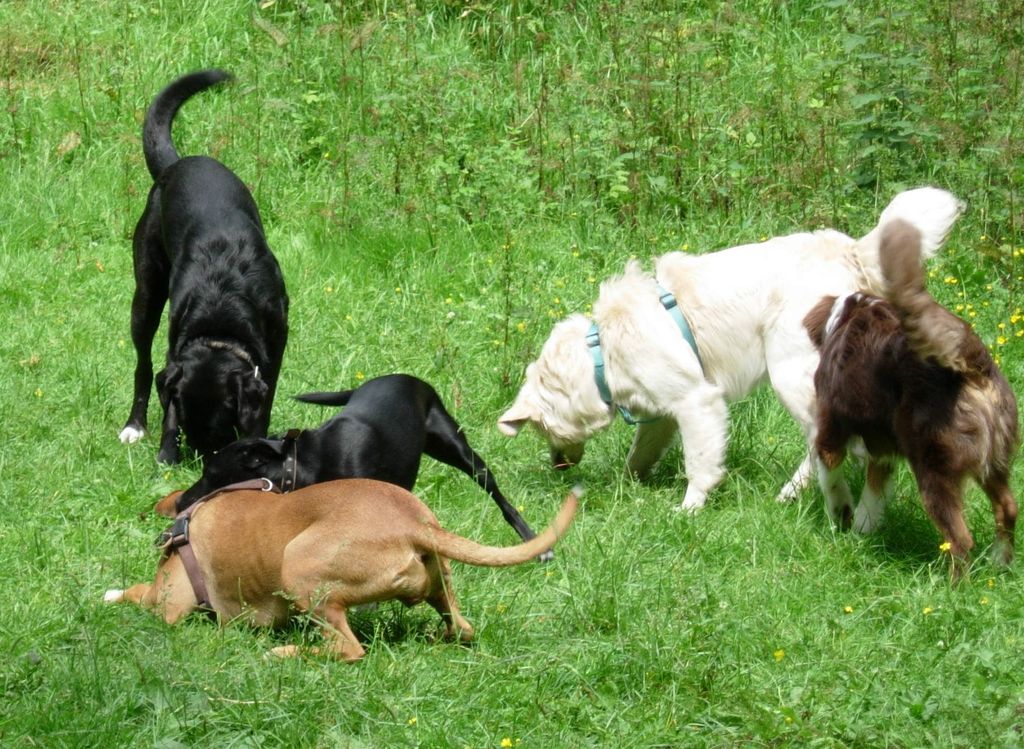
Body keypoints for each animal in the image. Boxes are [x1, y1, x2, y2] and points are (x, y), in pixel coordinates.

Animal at [103, 479, 577, 663]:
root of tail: (413, 524)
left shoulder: (166, 606)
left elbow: (136, 592)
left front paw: (109, 595)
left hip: (299, 568)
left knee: (348, 649)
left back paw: (285, 653)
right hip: (440, 586)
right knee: (460, 626)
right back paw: (433, 638)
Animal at [117, 70, 290, 463]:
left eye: (220, 427)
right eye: (186, 422)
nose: (201, 457)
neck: (221, 320)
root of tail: (176, 164)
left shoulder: (276, 342)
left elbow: (267, 397)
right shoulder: (175, 349)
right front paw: (167, 450)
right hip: (146, 295)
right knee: (142, 365)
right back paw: (134, 426)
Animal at [172, 375, 548, 557]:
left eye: (211, 475)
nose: (178, 503)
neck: (302, 461)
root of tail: (402, 376)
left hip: (457, 448)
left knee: (496, 492)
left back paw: (531, 538)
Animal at [499, 188, 962, 516]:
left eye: (544, 432)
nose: (558, 467)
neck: (602, 351)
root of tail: (851, 252)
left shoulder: (697, 401)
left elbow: (700, 463)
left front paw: (688, 509)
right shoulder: (663, 414)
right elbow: (638, 455)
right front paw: (627, 485)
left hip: (790, 373)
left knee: (827, 443)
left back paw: (793, 495)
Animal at [806, 219, 1015, 577]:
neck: (853, 311)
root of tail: (971, 362)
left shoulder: (831, 429)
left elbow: (830, 475)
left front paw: (841, 515)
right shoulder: (882, 448)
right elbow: (874, 493)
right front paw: (862, 531)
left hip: (934, 466)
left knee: (960, 539)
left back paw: (952, 585)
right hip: (995, 461)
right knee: (1008, 508)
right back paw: (999, 563)